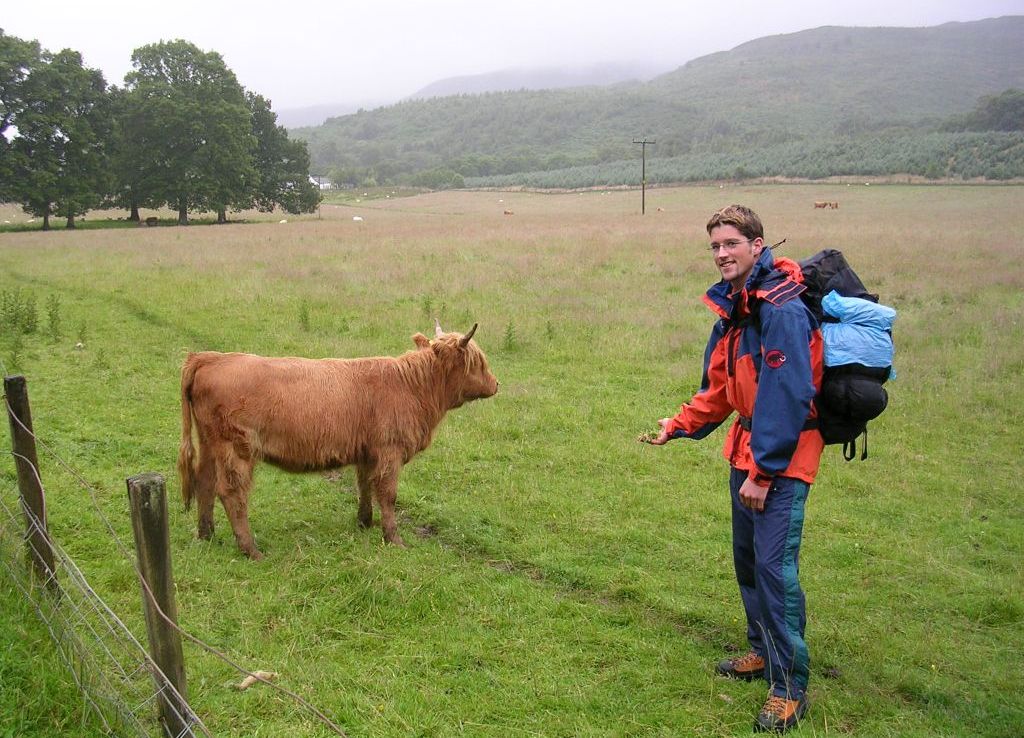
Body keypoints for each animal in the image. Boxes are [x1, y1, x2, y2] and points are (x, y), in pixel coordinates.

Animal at [178, 323, 497, 556]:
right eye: (478, 362)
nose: (496, 384)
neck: (412, 387)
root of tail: (210, 357)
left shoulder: (368, 452)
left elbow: (365, 485)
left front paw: (365, 522)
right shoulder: (389, 451)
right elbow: (388, 494)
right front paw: (394, 539)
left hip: (209, 444)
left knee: (204, 482)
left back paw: (206, 535)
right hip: (235, 447)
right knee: (231, 492)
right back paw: (250, 549)